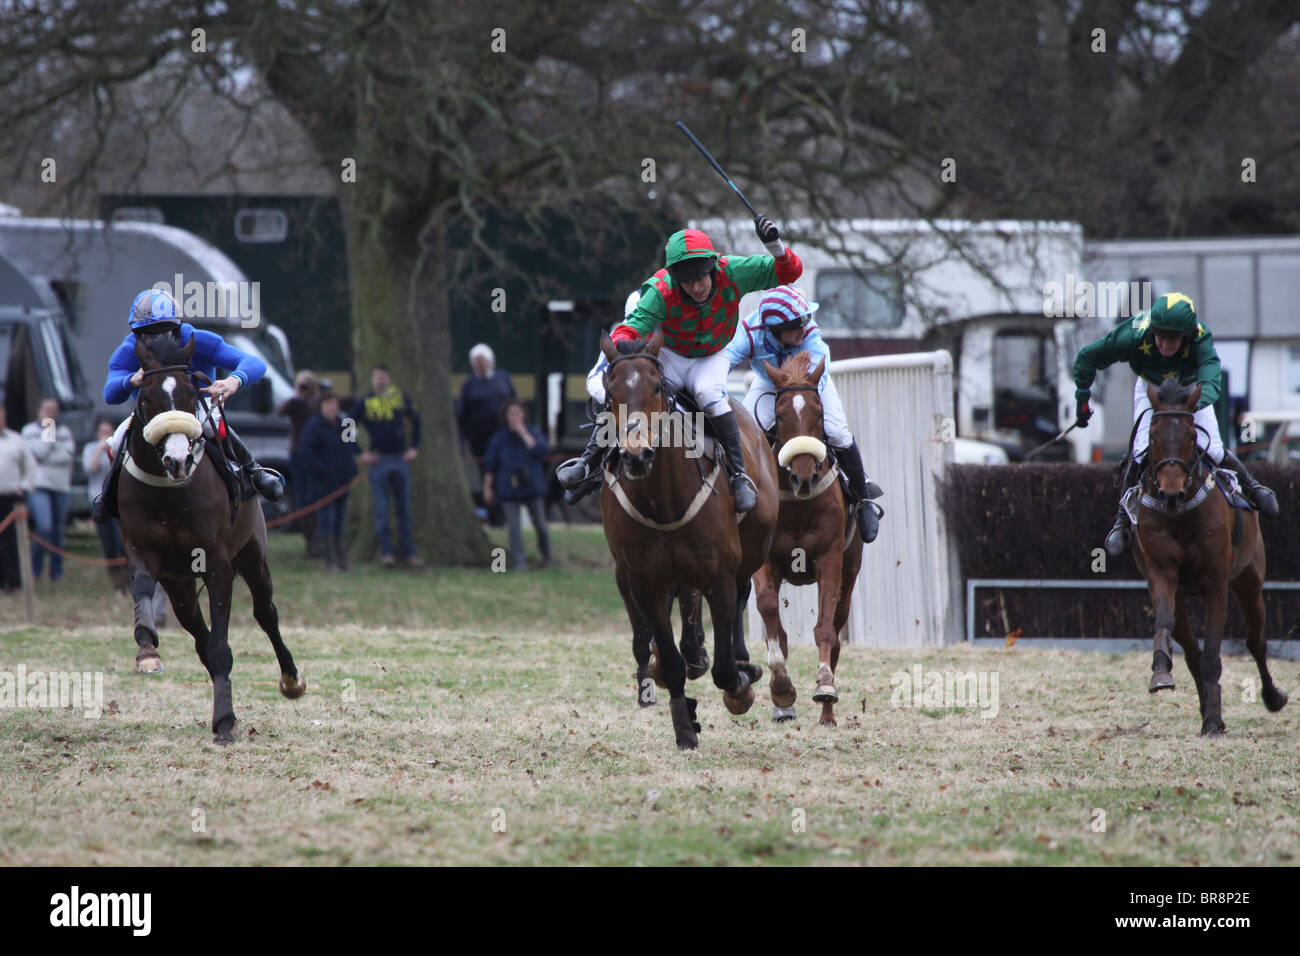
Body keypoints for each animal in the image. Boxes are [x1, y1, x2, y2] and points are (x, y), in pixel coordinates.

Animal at [118, 335, 305, 749]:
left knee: (266, 613)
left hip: (253, 554)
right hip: (180, 585)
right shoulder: (145, 552)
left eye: (191, 394)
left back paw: (291, 680)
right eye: (146, 398)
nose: (177, 460)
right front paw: (146, 650)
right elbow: (143, 590)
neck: (170, 494)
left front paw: (224, 723)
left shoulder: (217, 562)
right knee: (196, 627)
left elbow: (221, 645)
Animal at [600, 332, 780, 749]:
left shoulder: (720, 575)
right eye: (610, 391)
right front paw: (684, 725)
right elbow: (669, 659)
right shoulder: (642, 581)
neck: (664, 502)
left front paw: (740, 684)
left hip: (750, 549)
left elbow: (726, 670)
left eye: (655, 387)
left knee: (741, 595)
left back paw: (740, 661)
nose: (636, 456)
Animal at [754, 356, 863, 728]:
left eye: (818, 412)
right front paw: (781, 690)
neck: (798, 503)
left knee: (837, 630)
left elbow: (825, 630)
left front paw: (825, 687)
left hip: (850, 573)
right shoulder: (766, 561)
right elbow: (771, 616)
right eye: (781, 413)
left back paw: (827, 713)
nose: (804, 477)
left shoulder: (830, 558)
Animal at [1133, 377, 1284, 738]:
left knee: (1256, 642)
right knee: (1191, 651)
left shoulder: (1216, 582)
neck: (1181, 516)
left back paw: (1272, 697)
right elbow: (1165, 623)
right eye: (1153, 437)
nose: (1170, 494)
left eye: (1191, 436)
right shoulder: (1161, 573)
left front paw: (1214, 720)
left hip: (1249, 580)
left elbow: (1214, 652)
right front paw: (1161, 672)